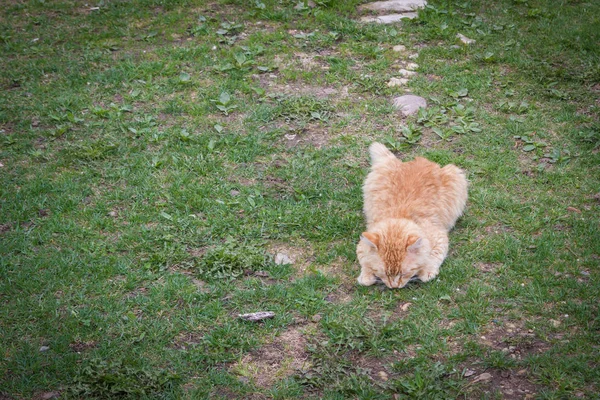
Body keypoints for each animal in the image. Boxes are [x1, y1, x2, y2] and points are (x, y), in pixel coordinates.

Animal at [356, 142, 468, 290]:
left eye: (403, 273)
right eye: (385, 274)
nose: (394, 286)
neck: (399, 216)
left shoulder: (440, 238)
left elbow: (432, 256)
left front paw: (427, 271)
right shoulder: (363, 242)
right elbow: (364, 260)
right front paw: (366, 276)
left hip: (456, 175)